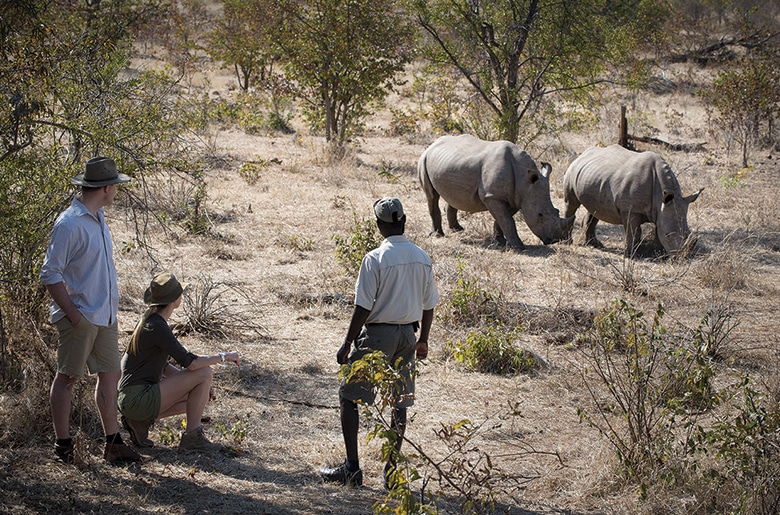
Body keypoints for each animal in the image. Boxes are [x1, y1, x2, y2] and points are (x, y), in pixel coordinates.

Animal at [417, 135, 574, 252]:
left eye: (556, 211)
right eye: (540, 215)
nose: (555, 240)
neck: (524, 180)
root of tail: (432, 144)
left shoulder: (515, 198)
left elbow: (503, 220)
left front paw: (500, 241)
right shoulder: (493, 196)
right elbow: (507, 220)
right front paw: (519, 247)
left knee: (455, 196)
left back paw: (457, 229)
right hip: (424, 159)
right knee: (432, 196)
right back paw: (437, 234)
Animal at [562, 144, 703, 256]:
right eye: (668, 235)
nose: (681, 257)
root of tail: (582, 154)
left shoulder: (661, 209)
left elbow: (657, 229)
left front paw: (657, 252)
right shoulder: (630, 209)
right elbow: (634, 231)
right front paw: (630, 254)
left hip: (594, 176)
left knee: (596, 209)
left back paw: (595, 244)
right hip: (572, 170)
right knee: (571, 204)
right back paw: (567, 241)